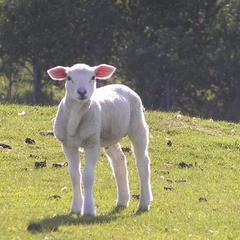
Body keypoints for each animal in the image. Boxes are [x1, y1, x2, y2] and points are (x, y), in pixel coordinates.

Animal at [47, 63, 152, 216]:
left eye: (93, 77)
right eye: (68, 78)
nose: (82, 92)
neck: (75, 117)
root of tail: (123, 86)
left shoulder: (92, 143)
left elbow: (87, 177)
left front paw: (89, 209)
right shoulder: (68, 145)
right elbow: (74, 175)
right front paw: (75, 208)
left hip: (138, 125)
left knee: (143, 163)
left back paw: (144, 203)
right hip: (110, 137)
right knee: (119, 161)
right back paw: (122, 200)